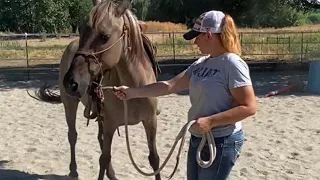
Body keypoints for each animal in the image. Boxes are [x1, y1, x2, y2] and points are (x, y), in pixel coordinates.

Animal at [36, 0, 161, 179]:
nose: (70, 82)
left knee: (99, 139)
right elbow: (104, 158)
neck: (134, 88)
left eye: (105, 36)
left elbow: (154, 159)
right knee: (73, 135)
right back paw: (73, 170)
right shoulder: (110, 124)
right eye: (81, 31)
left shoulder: (150, 121)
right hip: (70, 104)